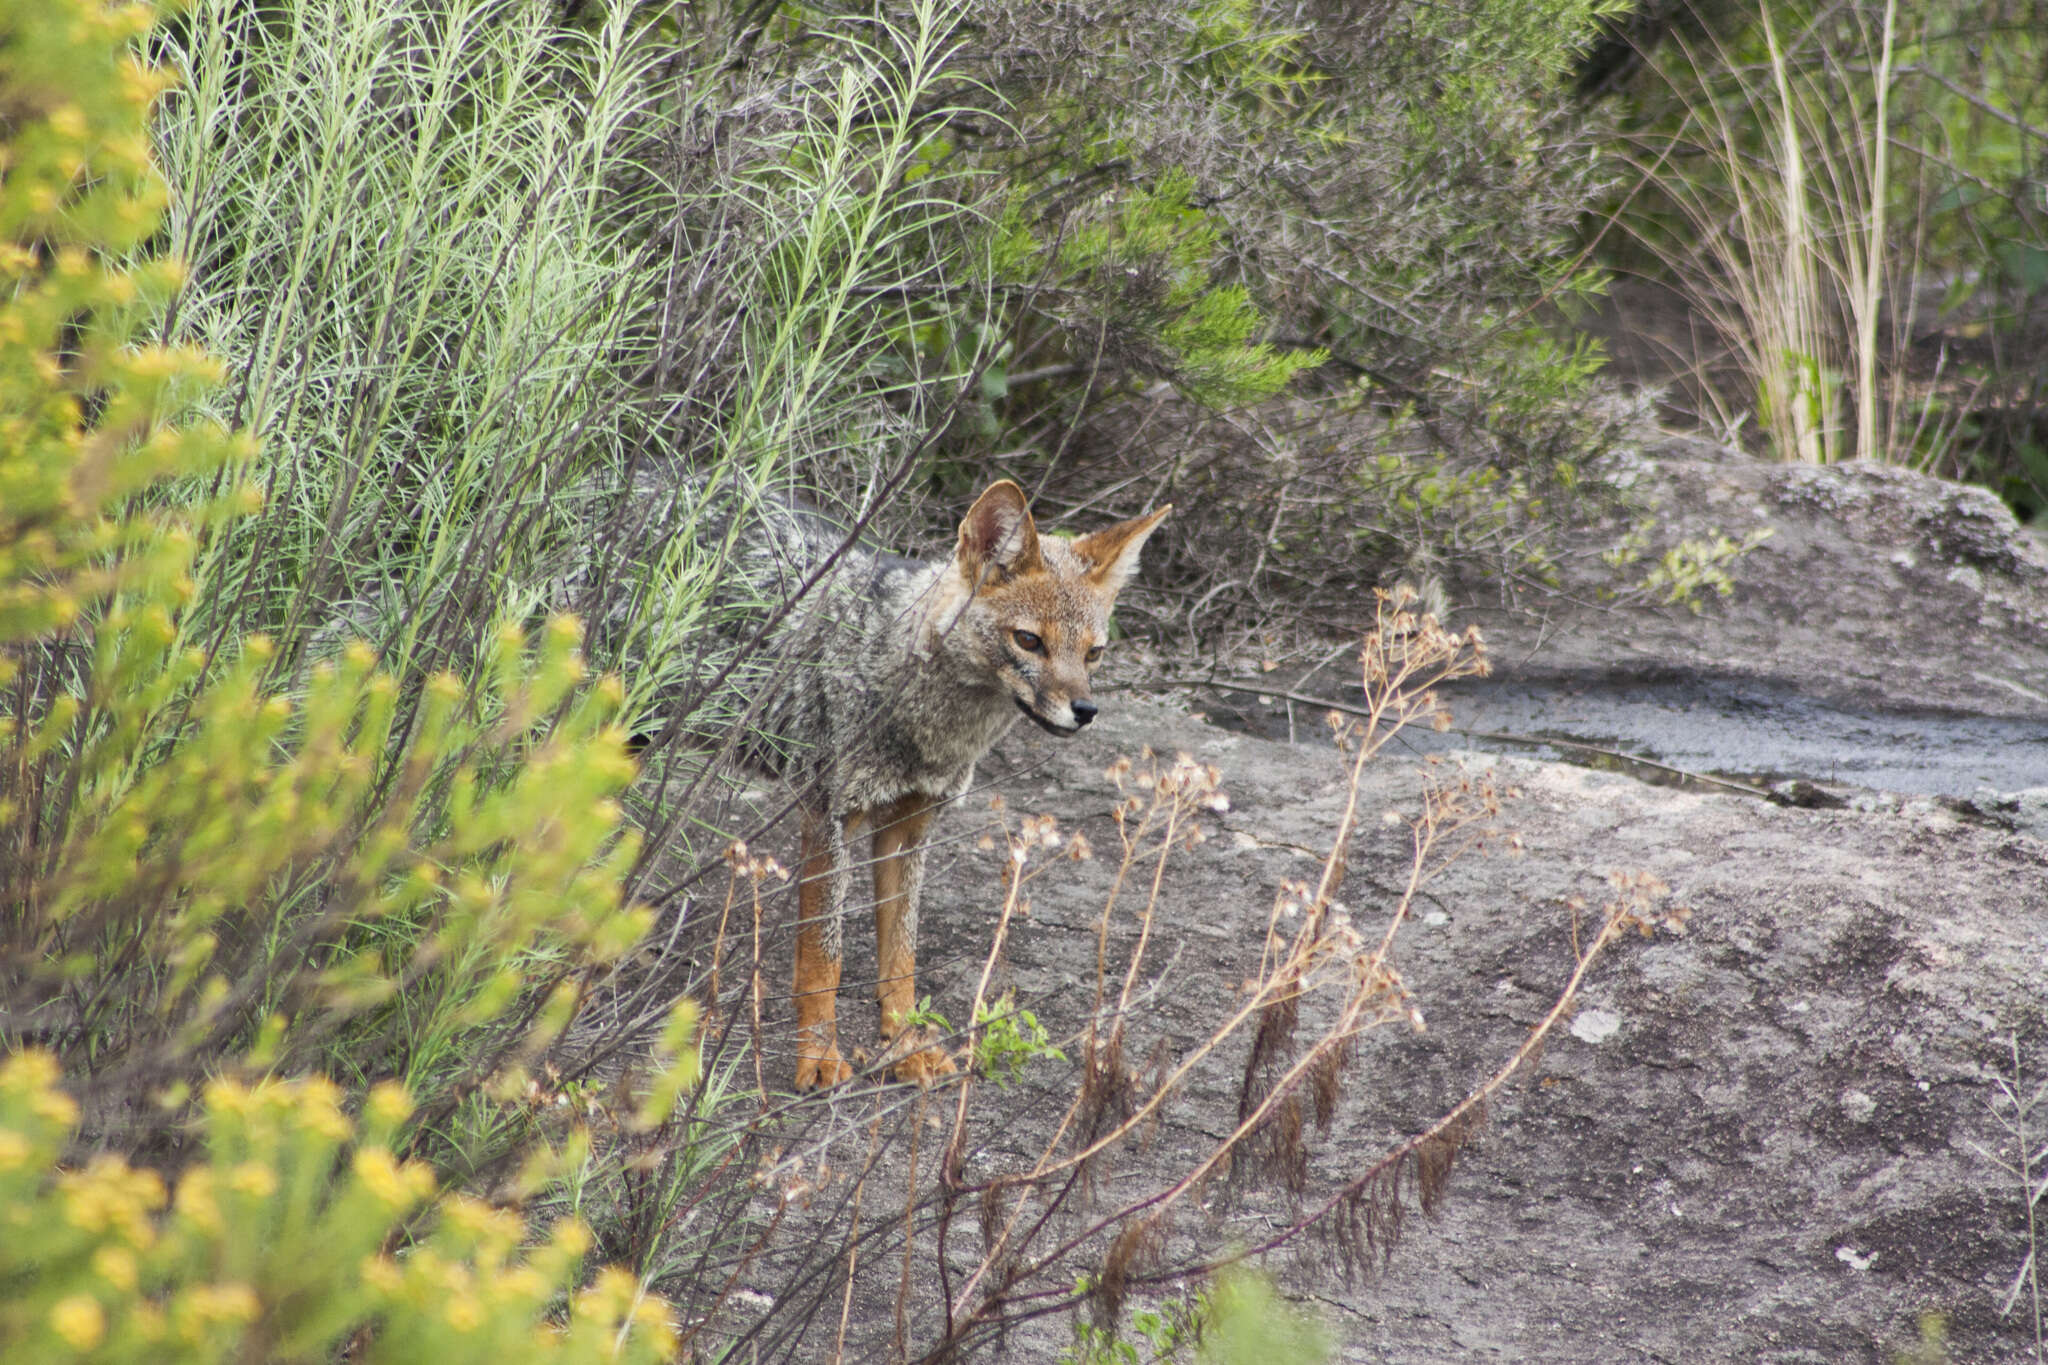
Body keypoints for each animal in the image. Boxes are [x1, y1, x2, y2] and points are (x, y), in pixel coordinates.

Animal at [704, 478, 1171, 1088]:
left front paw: (906, 1048)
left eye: (1094, 653)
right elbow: (823, 959)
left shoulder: (911, 823)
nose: (1086, 711)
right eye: (1029, 641)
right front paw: (820, 1058)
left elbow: (901, 958)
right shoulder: (827, 818)